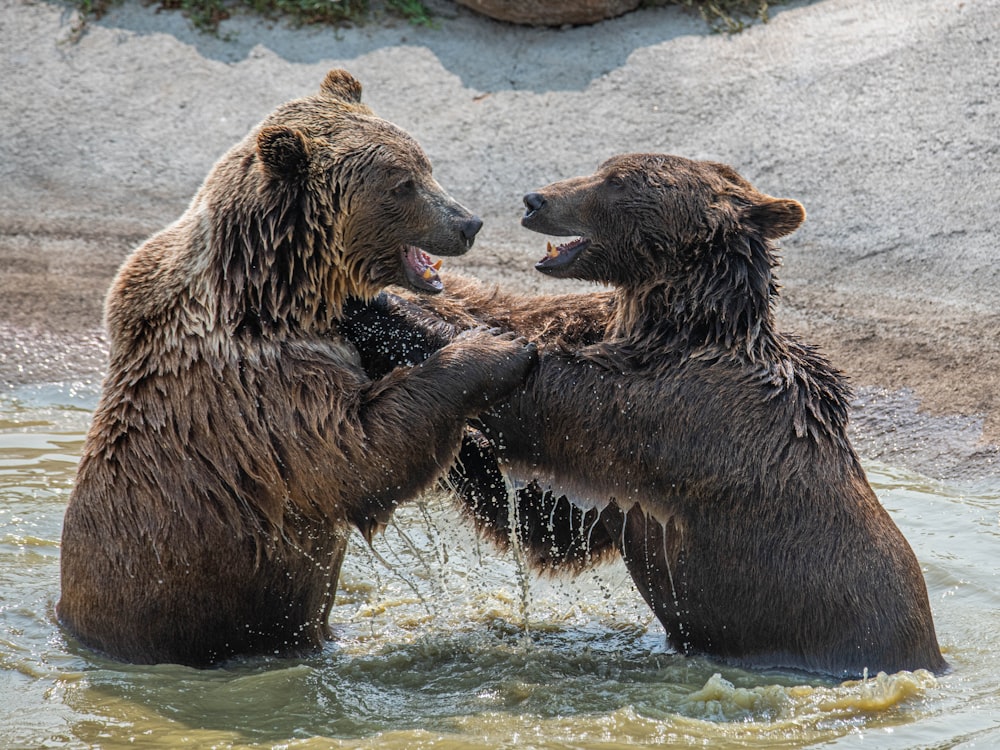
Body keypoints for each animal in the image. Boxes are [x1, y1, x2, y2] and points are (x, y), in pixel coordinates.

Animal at [54, 70, 540, 668]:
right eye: (402, 184)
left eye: (426, 164)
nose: (469, 222)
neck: (280, 290)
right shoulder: (261, 385)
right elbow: (359, 451)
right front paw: (498, 348)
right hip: (164, 612)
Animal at [348, 154, 948, 680]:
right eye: (603, 166)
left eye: (615, 180)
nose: (534, 199)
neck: (680, 323)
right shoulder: (631, 480)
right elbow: (544, 518)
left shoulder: (669, 412)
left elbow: (546, 407)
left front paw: (380, 307)